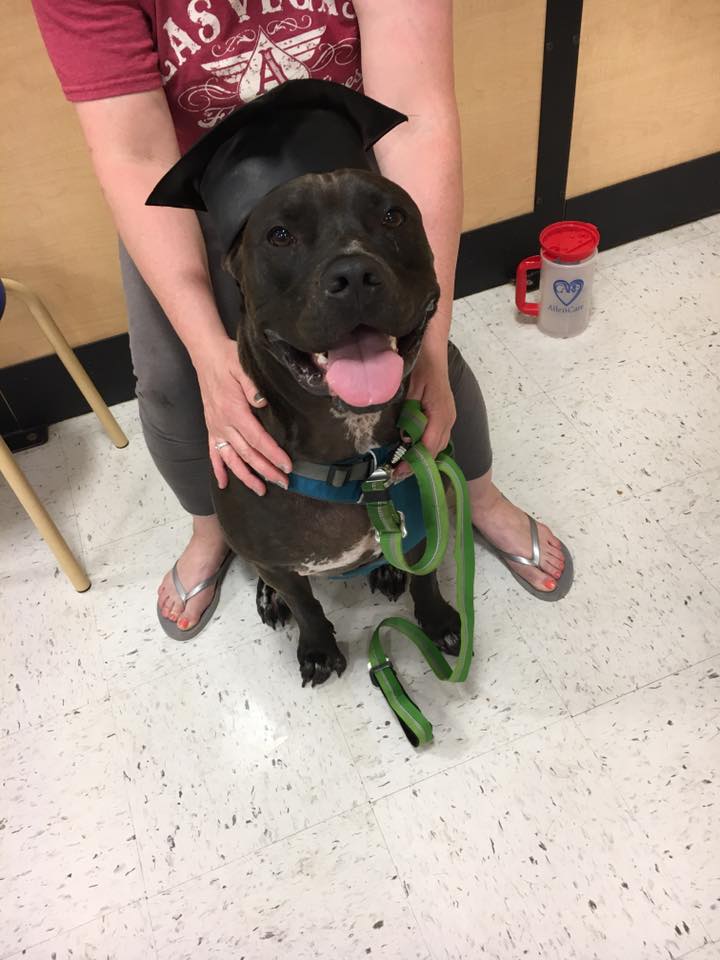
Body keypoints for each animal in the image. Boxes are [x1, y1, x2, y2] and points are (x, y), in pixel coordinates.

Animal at [213, 168, 461, 686]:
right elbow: (304, 603)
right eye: (279, 235)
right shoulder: (279, 565)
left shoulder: (428, 519)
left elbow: (426, 578)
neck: (359, 461)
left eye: (393, 216)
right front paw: (319, 648)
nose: (354, 275)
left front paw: (437, 621)